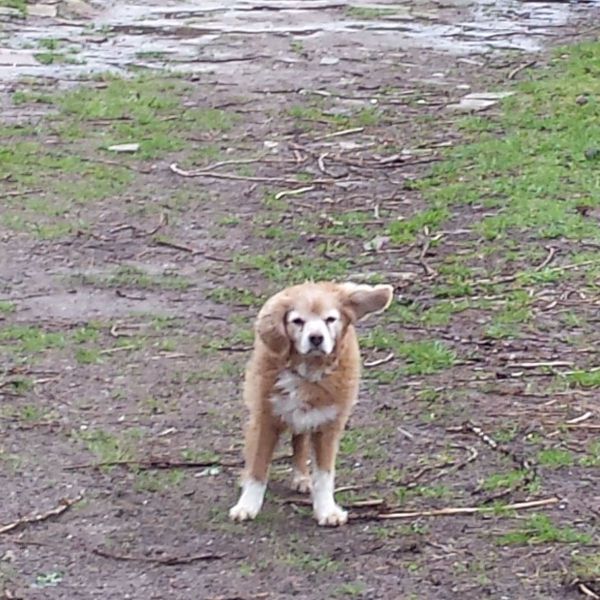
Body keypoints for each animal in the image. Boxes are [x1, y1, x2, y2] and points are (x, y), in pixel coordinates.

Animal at [227, 280, 392, 524]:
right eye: (298, 321)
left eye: (330, 319)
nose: (316, 338)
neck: (308, 371)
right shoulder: (266, 418)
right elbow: (258, 468)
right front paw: (247, 506)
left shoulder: (328, 424)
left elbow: (324, 474)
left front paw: (326, 510)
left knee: (300, 441)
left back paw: (302, 478)